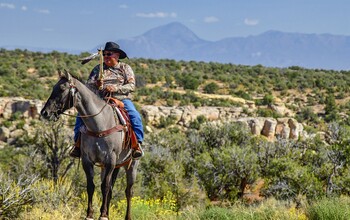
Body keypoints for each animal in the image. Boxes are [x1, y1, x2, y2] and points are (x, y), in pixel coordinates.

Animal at [40, 70, 139, 220]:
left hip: (131, 165)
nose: (45, 113)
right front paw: (91, 214)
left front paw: (102, 215)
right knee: (111, 189)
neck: (99, 124)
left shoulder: (110, 160)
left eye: (62, 89)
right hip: (114, 166)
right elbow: (91, 186)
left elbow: (104, 187)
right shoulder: (88, 160)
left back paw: (127, 216)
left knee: (128, 191)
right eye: (53, 88)